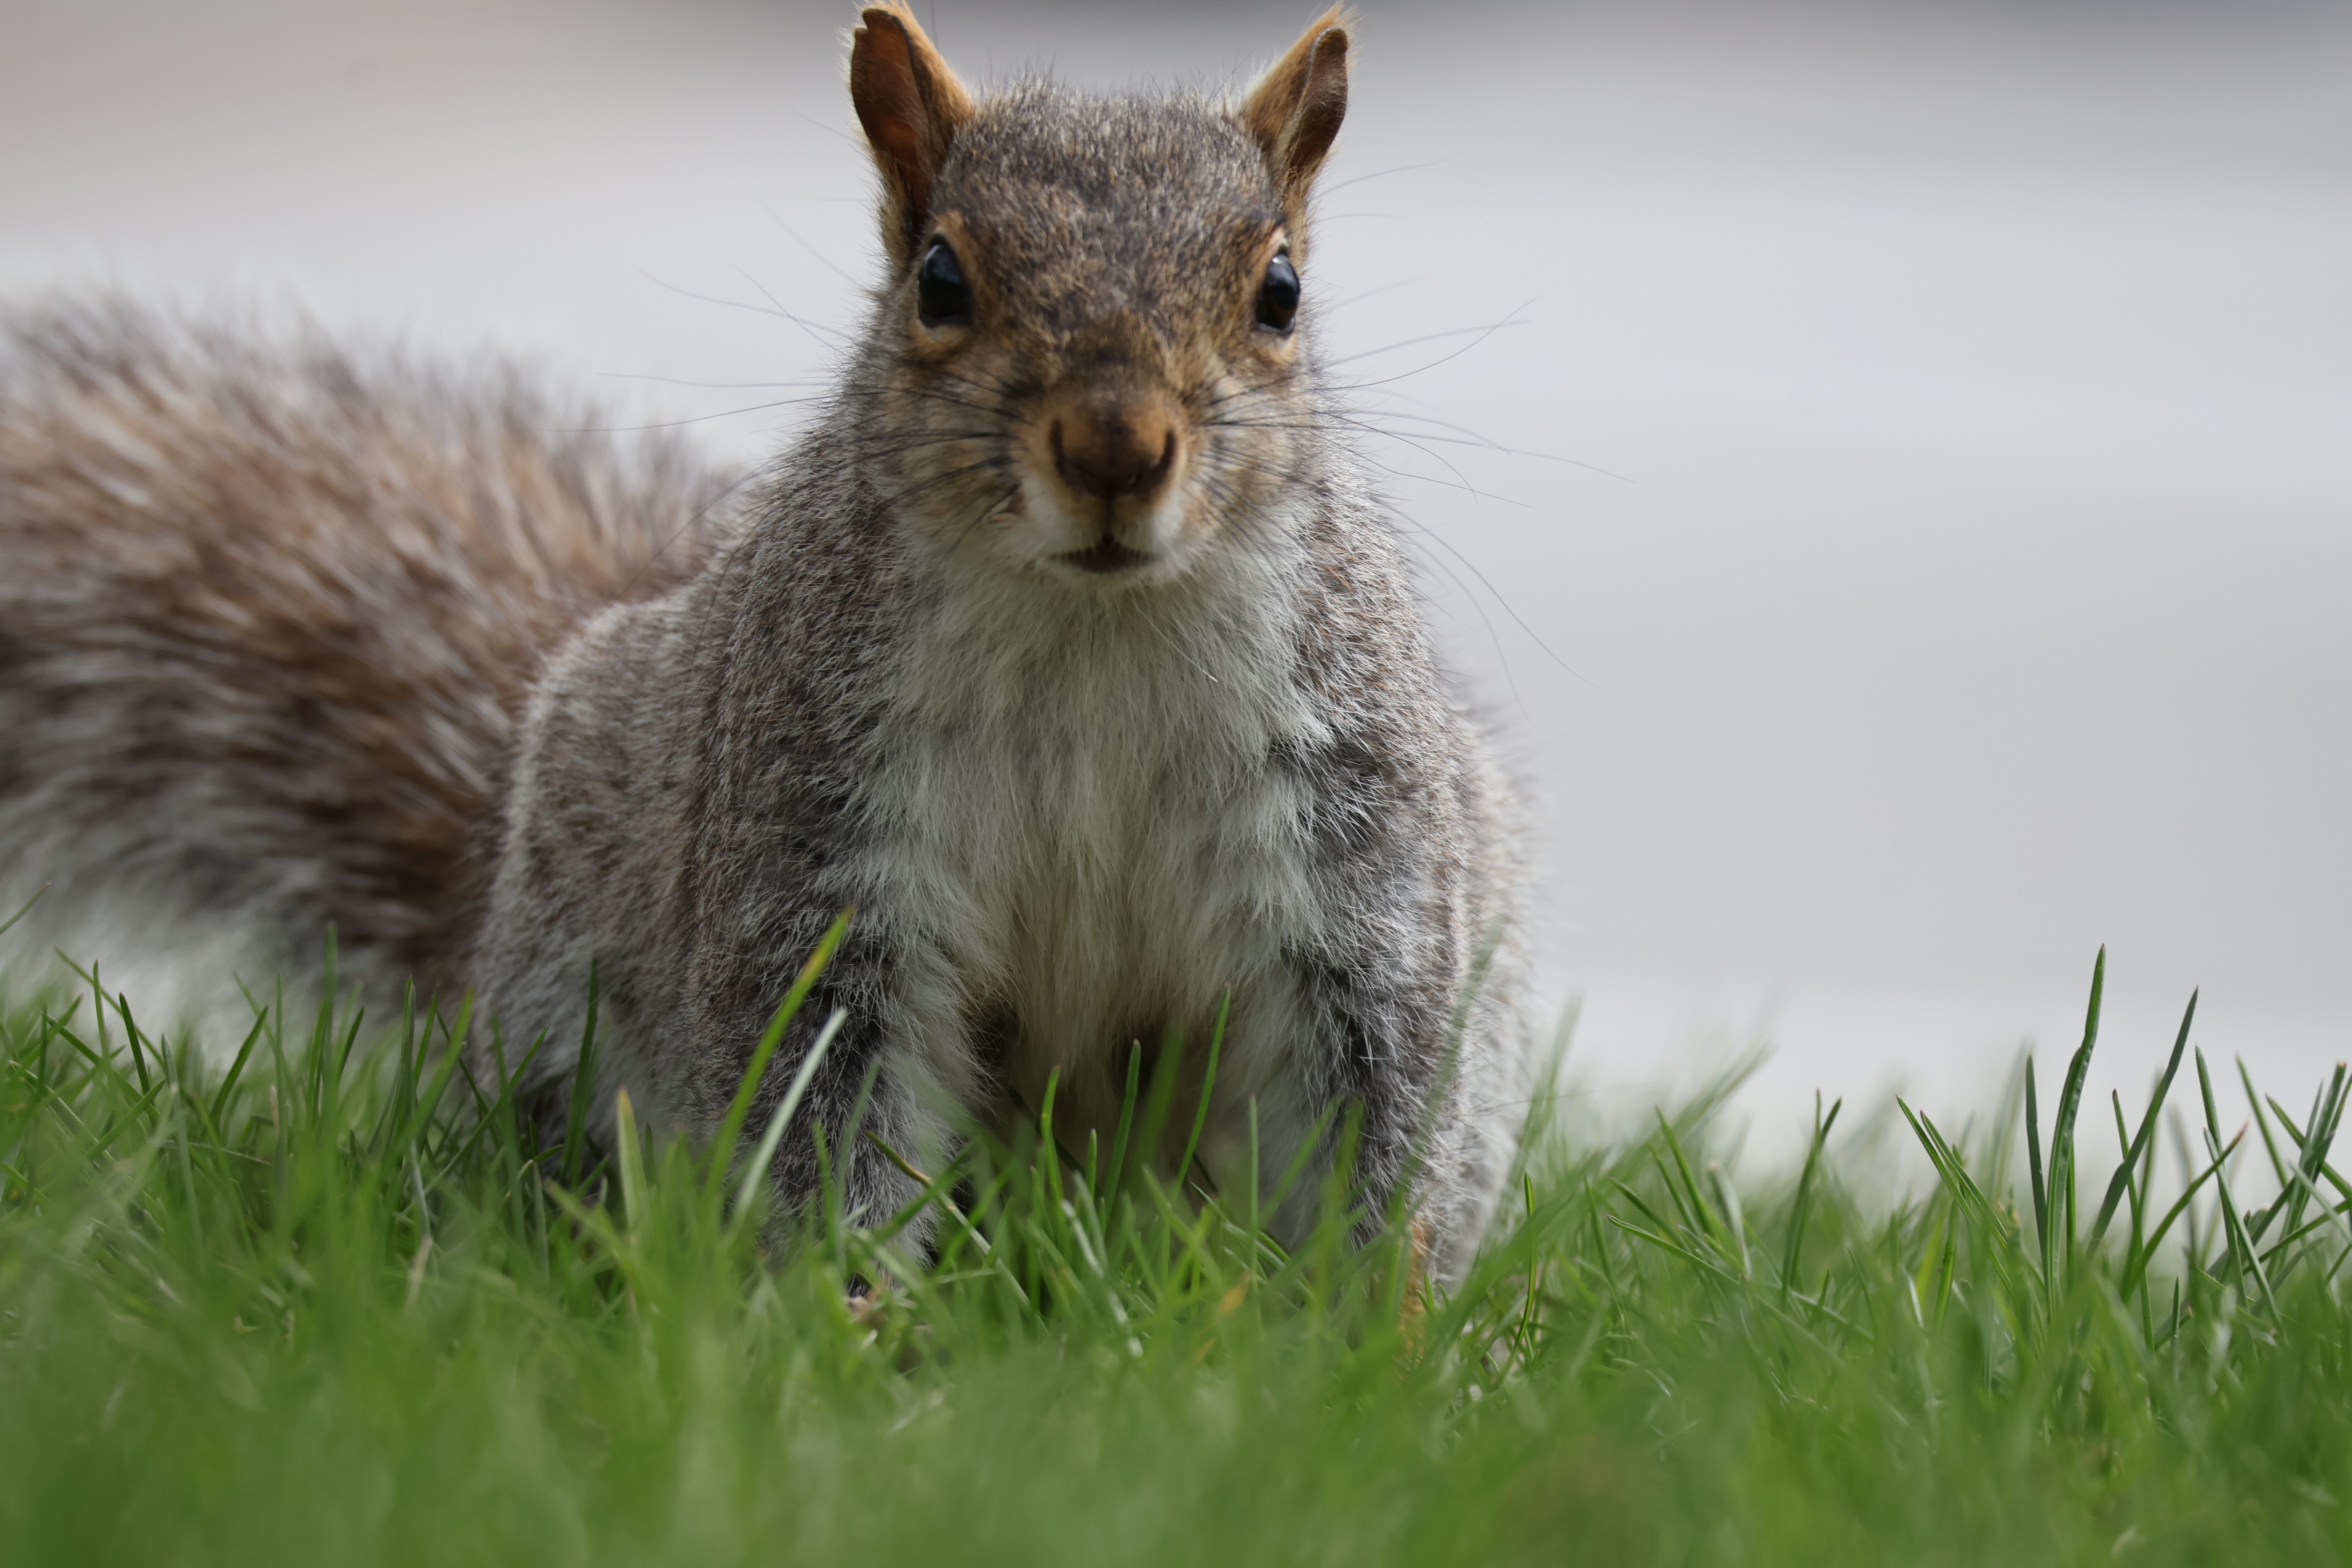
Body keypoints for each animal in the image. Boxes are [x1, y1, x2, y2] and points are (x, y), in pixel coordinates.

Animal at [0, 5, 1526, 1275]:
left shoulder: (1352, 858)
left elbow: (1374, 1117)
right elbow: (824, 1112)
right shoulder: (820, 845)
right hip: (567, 1012)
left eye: (1279, 291)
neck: (1090, 625)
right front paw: (860, 1337)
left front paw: (1371, 1340)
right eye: (939, 280)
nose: (1113, 447)